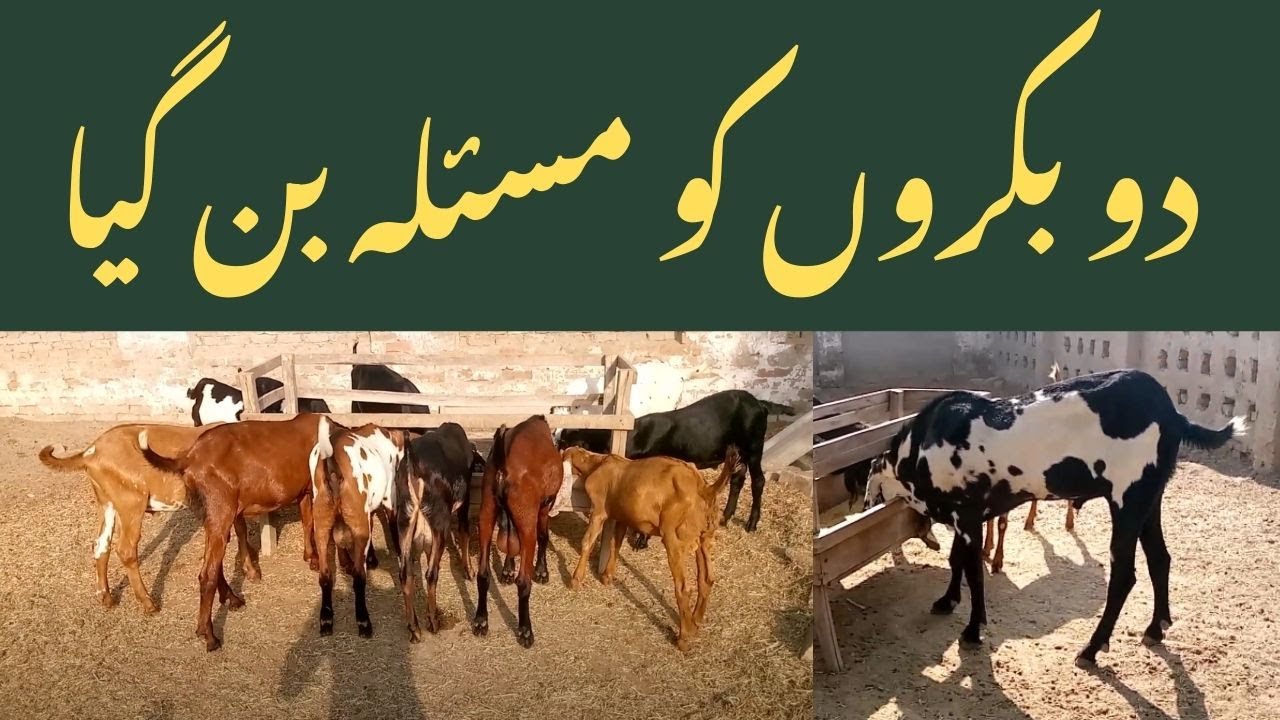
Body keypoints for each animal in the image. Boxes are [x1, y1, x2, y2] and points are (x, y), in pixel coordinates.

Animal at [864, 369, 1247, 666]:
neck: (919, 449)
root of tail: (1171, 412)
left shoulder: (968, 518)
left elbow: (973, 572)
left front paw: (973, 630)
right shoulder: (965, 520)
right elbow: (957, 560)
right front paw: (947, 601)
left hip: (1127, 501)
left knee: (1124, 576)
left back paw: (1092, 648)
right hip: (1150, 501)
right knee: (1160, 558)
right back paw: (1156, 627)